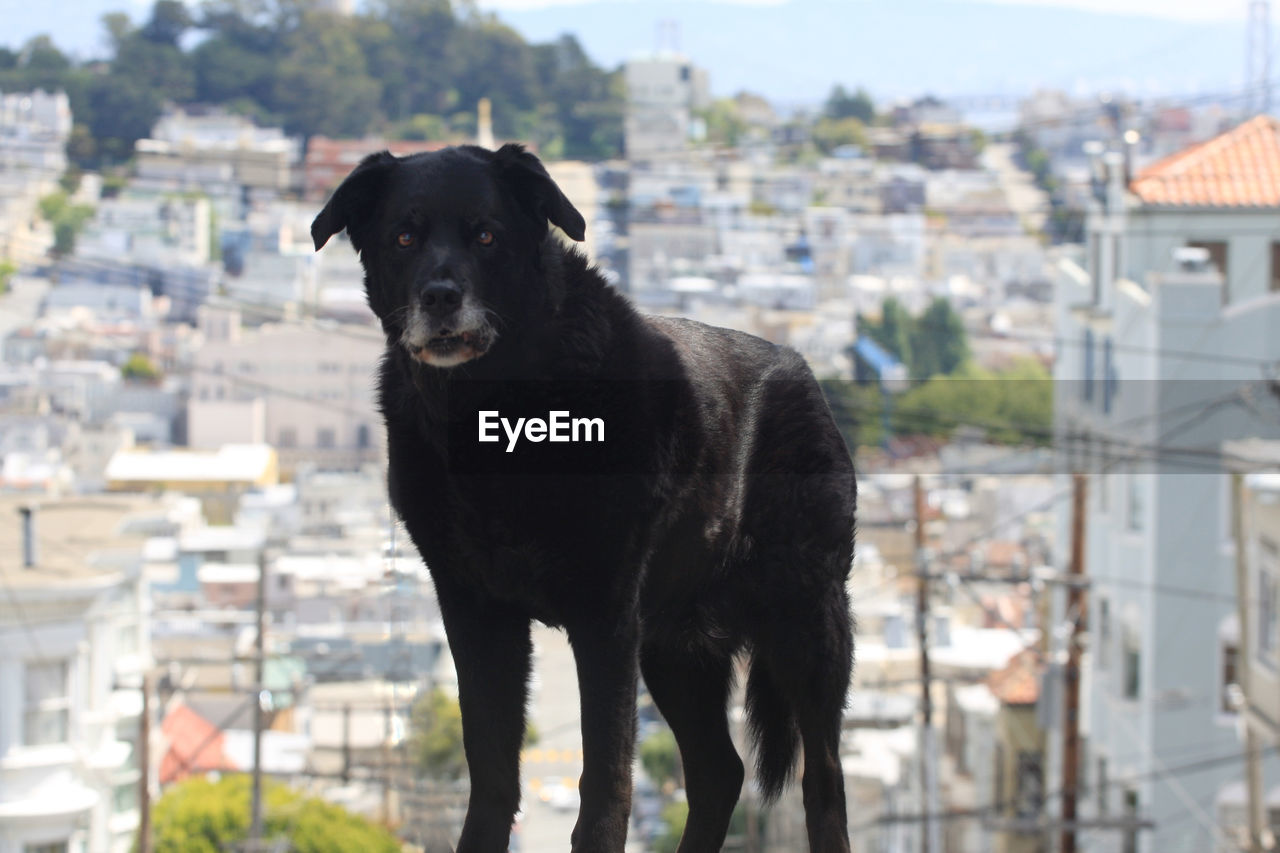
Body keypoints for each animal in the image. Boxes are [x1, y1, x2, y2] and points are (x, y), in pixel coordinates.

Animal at [311, 146, 855, 850]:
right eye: (404, 237)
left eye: (486, 235)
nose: (439, 297)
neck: (493, 413)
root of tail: (803, 371)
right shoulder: (475, 612)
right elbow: (490, 773)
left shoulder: (604, 618)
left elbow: (605, 781)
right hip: (674, 648)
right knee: (719, 772)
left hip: (805, 625)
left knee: (824, 779)